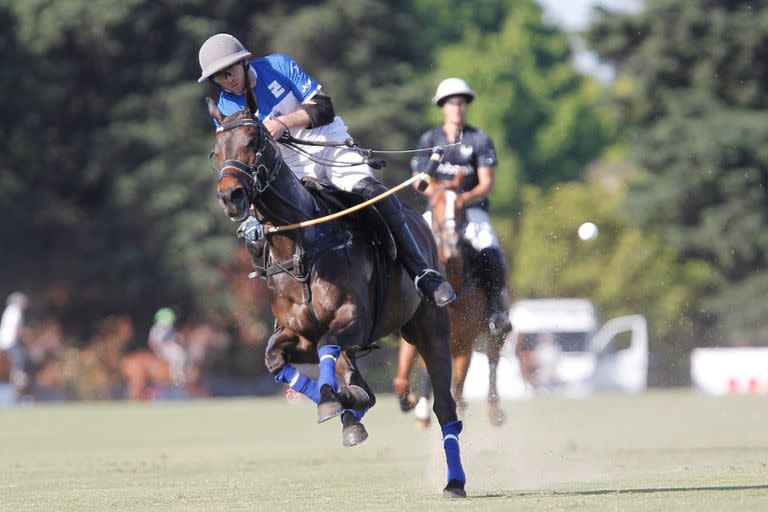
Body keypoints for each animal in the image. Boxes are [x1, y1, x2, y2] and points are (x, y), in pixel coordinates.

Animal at [206, 94, 468, 498]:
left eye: (254, 141)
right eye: (216, 150)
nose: (230, 196)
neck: (301, 246)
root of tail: (423, 222)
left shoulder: (352, 318)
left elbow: (331, 352)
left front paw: (339, 403)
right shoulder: (299, 333)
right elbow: (275, 360)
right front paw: (347, 407)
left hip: (432, 330)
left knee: (445, 408)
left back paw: (454, 482)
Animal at [396, 186, 510, 426]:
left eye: (461, 206)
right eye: (434, 203)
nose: (450, 241)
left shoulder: (464, 346)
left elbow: (456, 391)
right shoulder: (414, 341)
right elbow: (402, 381)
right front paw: (414, 404)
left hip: (495, 331)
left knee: (492, 359)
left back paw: (493, 410)